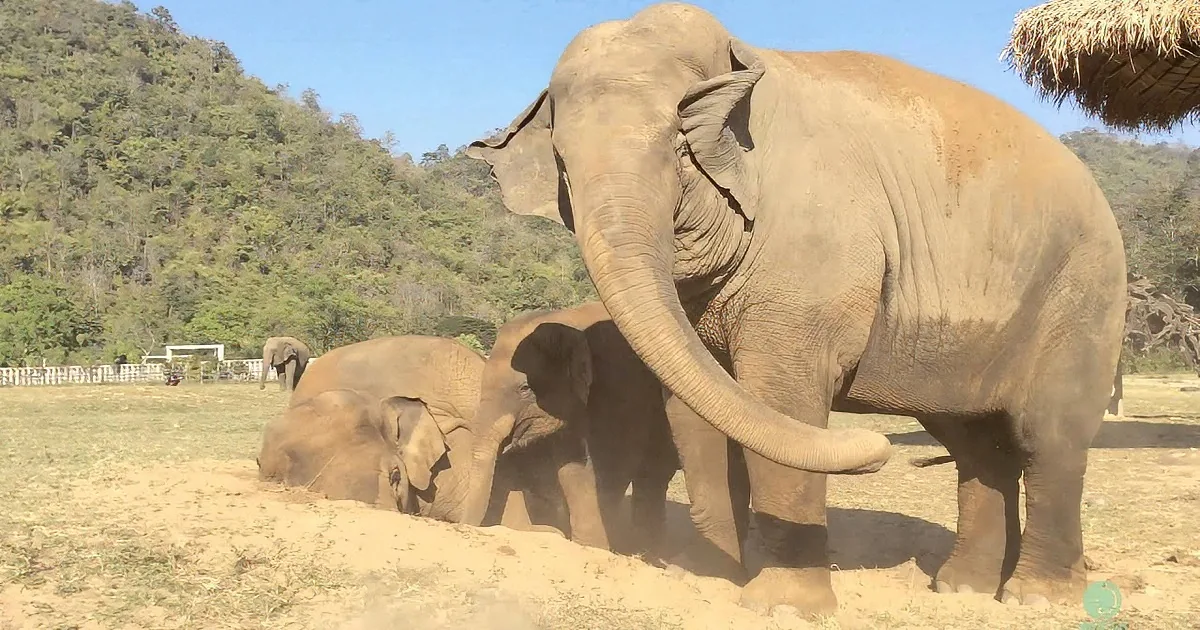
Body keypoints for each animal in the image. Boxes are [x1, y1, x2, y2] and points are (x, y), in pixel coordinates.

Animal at [464, 2, 1127, 615]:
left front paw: (783, 603)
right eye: (562, 166)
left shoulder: (811, 254)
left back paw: (1036, 598)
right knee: (975, 443)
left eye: (677, 146)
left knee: (1048, 435)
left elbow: (779, 394)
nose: (878, 452)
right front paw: (715, 577)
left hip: (1083, 292)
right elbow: (699, 406)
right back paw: (963, 588)